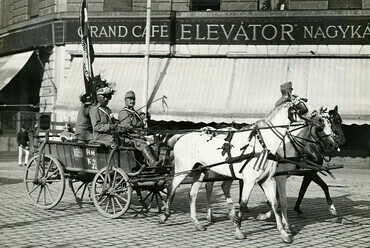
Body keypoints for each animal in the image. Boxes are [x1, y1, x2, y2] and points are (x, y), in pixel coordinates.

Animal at [158, 98, 312, 243]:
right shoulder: (250, 180)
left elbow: (275, 204)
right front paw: (238, 231)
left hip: (199, 171)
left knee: (193, 194)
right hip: (183, 169)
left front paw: (283, 233)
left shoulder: (266, 180)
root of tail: (182, 136)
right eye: (302, 109)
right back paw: (164, 215)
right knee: (172, 187)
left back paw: (196, 223)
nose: (312, 119)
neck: (262, 144)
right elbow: (243, 205)